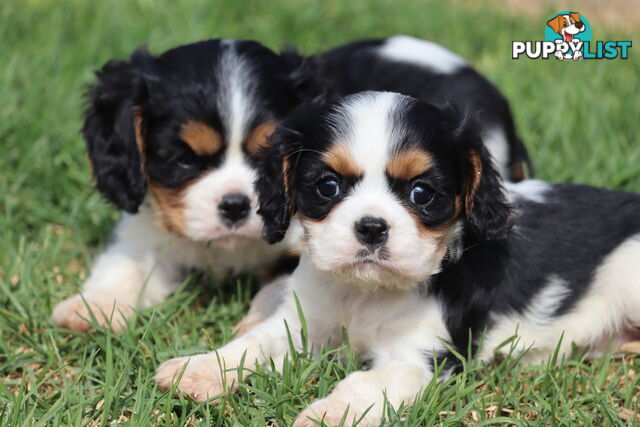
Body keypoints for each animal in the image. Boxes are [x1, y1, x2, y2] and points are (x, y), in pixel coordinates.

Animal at [52, 39, 308, 334]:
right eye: (184, 159)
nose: (235, 205)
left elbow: (285, 288)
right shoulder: (146, 230)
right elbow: (127, 262)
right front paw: (95, 306)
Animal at [155, 92, 640, 426]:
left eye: (422, 193)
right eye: (327, 187)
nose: (372, 227)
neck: (365, 292)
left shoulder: (420, 358)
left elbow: (364, 382)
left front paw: (327, 414)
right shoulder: (304, 320)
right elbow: (254, 343)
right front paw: (197, 371)